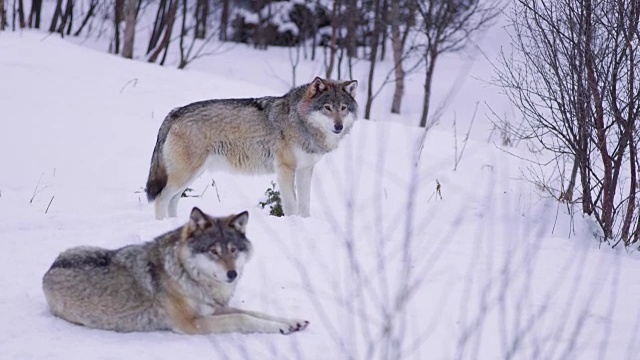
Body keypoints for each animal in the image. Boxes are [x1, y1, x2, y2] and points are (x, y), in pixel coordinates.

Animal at [41, 208, 308, 334]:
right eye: (213, 251)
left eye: (233, 250)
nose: (231, 274)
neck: (188, 276)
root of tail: (50, 268)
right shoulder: (191, 324)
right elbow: (242, 318)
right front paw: (281, 328)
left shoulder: (215, 309)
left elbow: (257, 313)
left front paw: (291, 321)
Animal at [146, 76, 360, 219]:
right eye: (327, 108)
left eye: (343, 108)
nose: (338, 127)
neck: (300, 121)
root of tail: (175, 112)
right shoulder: (285, 170)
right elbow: (291, 204)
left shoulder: (305, 170)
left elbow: (305, 204)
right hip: (186, 174)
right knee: (161, 199)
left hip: (192, 175)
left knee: (173, 200)